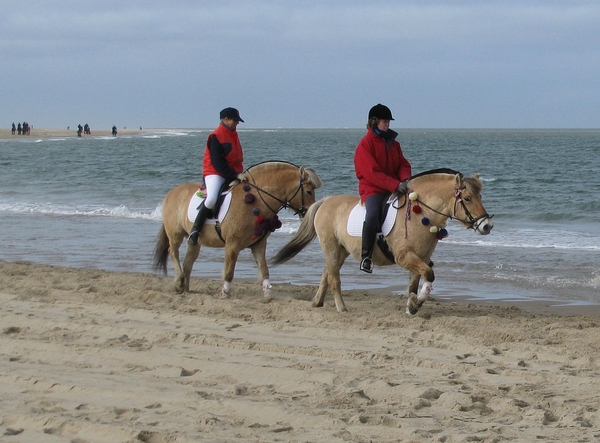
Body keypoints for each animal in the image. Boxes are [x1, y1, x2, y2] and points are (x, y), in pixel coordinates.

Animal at [155, 161, 324, 300]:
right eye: (308, 191)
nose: (309, 213)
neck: (255, 202)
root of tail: (172, 192)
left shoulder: (259, 245)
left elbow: (264, 270)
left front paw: (268, 293)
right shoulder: (232, 245)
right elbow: (229, 271)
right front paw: (225, 293)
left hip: (195, 241)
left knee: (189, 260)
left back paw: (185, 288)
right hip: (175, 234)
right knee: (173, 252)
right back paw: (179, 281)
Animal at [272, 169, 492, 316]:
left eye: (481, 196)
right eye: (467, 198)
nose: (486, 226)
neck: (421, 214)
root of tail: (325, 201)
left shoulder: (421, 257)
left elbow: (415, 282)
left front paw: (412, 304)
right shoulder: (405, 257)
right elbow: (429, 274)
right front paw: (417, 302)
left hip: (340, 250)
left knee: (327, 273)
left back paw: (317, 302)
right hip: (331, 248)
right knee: (333, 278)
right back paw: (341, 308)